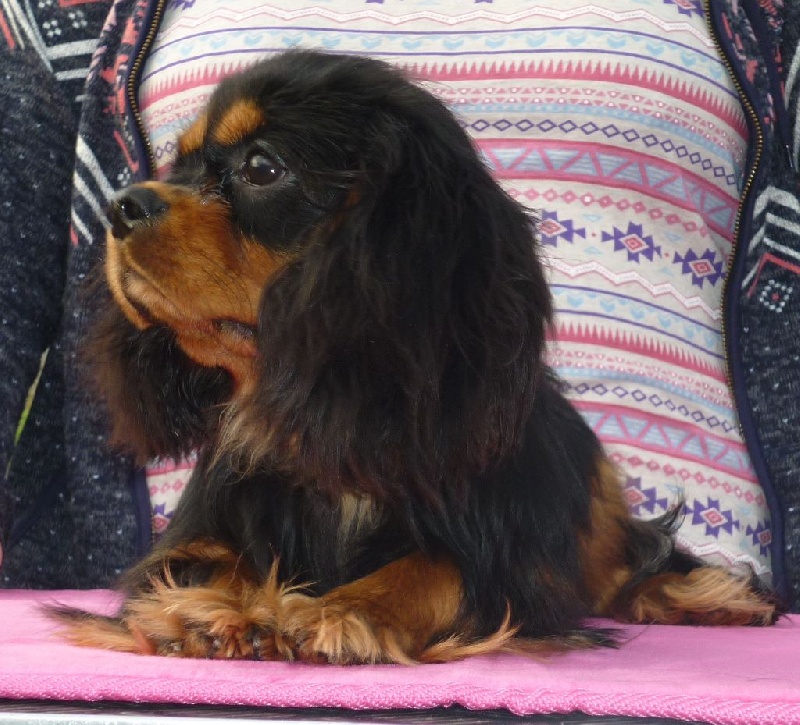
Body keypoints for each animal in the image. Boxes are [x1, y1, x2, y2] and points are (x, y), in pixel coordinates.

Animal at [54, 50, 778, 664]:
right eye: (178, 167)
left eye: (262, 168)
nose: (122, 204)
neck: (320, 406)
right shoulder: (196, 535)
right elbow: (206, 563)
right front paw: (211, 612)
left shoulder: (505, 560)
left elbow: (436, 566)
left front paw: (343, 611)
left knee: (629, 557)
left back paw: (706, 596)